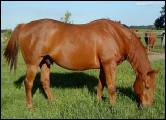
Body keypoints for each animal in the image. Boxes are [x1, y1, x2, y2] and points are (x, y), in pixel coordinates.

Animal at [4, 18, 158, 108]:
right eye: (147, 86)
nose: (147, 106)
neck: (115, 35)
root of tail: (24, 26)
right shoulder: (109, 64)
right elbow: (111, 87)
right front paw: (113, 107)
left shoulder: (103, 66)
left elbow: (101, 84)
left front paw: (99, 101)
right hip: (33, 64)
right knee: (28, 83)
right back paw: (30, 106)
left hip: (45, 62)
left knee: (45, 82)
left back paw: (53, 101)